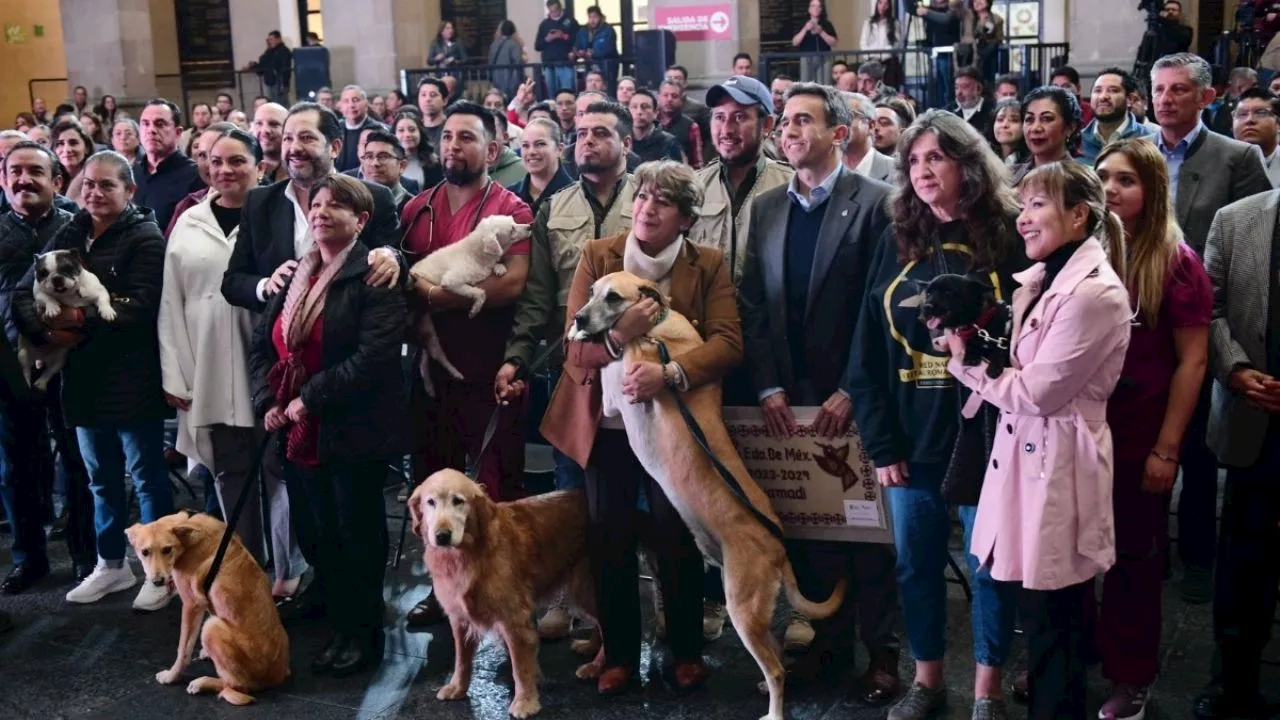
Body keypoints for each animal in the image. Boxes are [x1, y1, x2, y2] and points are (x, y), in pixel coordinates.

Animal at [16, 248, 115, 389]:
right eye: (43, 273)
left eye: (67, 268)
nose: (57, 278)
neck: (69, 293)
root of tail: (41, 359)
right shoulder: (38, 292)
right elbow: (47, 297)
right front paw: (52, 308)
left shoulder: (100, 291)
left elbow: (103, 300)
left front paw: (107, 311)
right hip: (22, 355)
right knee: (26, 371)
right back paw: (30, 383)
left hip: (60, 359)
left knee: (49, 371)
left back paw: (41, 383)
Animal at [126, 512, 289, 702]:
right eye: (145, 552)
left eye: (167, 549)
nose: (158, 581)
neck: (188, 536)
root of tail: (275, 678)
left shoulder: (191, 603)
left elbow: (183, 649)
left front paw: (171, 676)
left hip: (211, 628)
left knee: (238, 686)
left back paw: (202, 683)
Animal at [409, 213, 529, 392]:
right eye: (512, 228)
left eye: (514, 221)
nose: (530, 226)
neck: (475, 254)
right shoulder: (451, 282)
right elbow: (479, 292)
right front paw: (475, 310)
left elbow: (494, 269)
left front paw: (499, 268)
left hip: (428, 331)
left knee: (431, 357)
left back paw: (445, 378)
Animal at [412, 468, 606, 712]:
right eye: (430, 502)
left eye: (458, 501)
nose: (442, 536)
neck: (469, 552)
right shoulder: (459, 618)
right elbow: (462, 659)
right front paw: (457, 687)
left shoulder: (514, 620)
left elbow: (520, 667)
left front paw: (525, 702)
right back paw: (590, 647)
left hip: (583, 590)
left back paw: (597, 667)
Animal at [570, 269, 849, 717]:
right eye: (593, 291)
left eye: (613, 298)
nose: (579, 317)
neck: (655, 329)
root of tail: (778, 549)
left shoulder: (621, 392)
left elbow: (616, 361)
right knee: (774, 657)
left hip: (742, 605)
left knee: (777, 668)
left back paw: (774, 709)